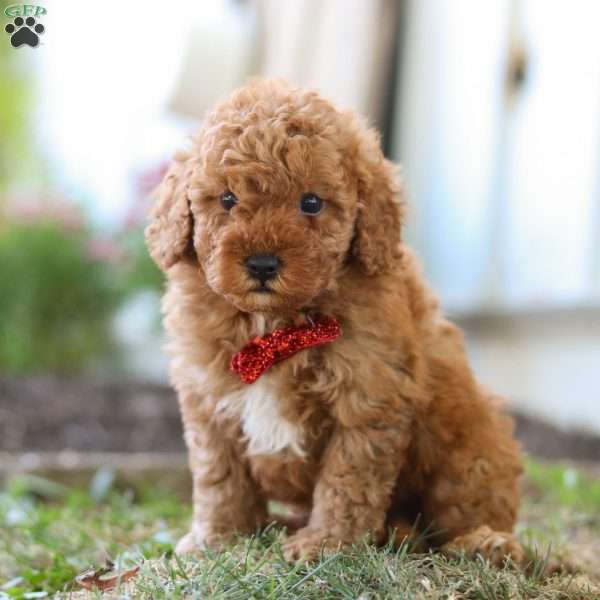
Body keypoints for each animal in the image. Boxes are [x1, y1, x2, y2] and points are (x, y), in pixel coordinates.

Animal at [148, 78, 524, 564]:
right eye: (227, 200)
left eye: (311, 203)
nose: (263, 263)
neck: (275, 324)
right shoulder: (208, 399)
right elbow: (221, 478)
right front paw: (217, 540)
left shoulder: (368, 397)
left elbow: (347, 481)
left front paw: (326, 544)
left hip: (470, 446)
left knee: (469, 502)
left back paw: (480, 541)